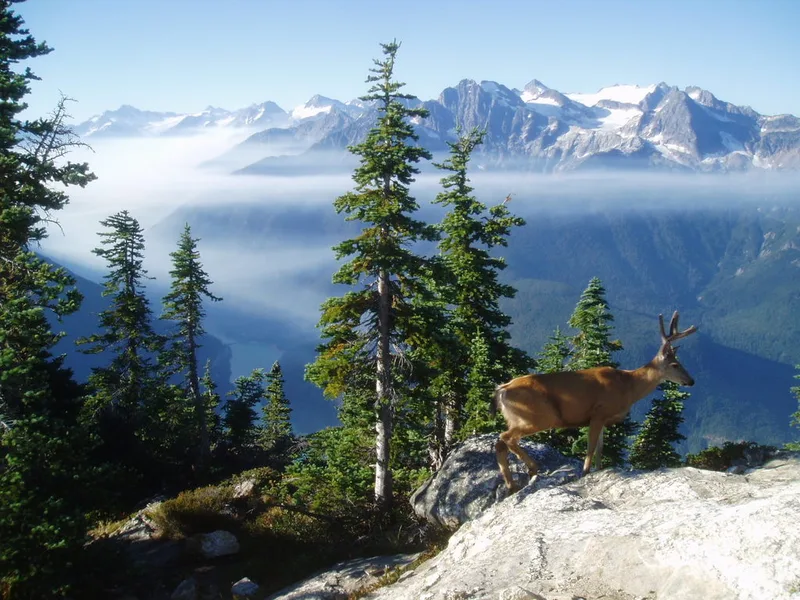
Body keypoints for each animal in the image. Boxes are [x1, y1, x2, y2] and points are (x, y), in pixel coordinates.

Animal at [495, 311, 697, 492]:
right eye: (675, 365)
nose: (691, 381)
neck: (628, 386)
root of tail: (502, 389)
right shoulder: (598, 412)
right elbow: (591, 448)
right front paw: (585, 472)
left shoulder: (604, 419)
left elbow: (600, 448)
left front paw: (598, 470)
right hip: (539, 416)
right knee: (505, 437)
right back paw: (532, 468)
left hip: (517, 418)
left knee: (500, 443)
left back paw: (511, 485)